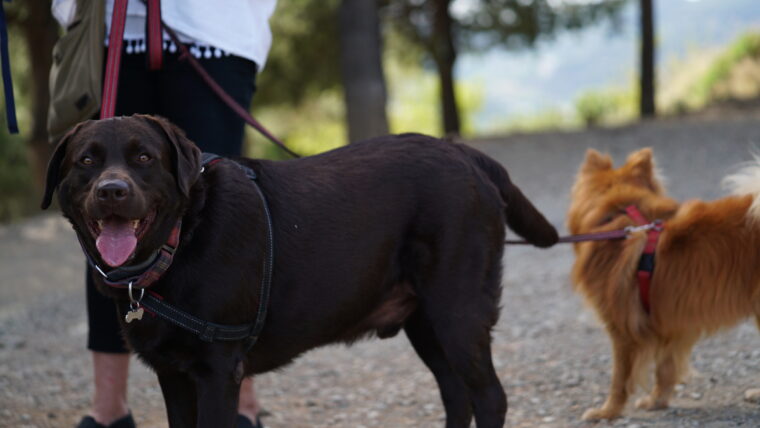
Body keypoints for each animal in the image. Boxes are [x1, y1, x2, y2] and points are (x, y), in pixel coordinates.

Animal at [42, 114, 558, 428]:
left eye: (144, 158)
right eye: (86, 160)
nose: (112, 191)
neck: (179, 241)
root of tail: (465, 154)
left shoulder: (217, 370)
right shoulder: (173, 374)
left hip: (457, 312)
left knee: (489, 397)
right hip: (425, 323)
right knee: (456, 396)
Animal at [568, 147, 760, 420]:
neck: (620, 215)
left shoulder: (622, 329)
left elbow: (619, 378)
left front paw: (607, 412)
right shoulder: (670, 323)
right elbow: (665, 370)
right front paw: (657, 401)